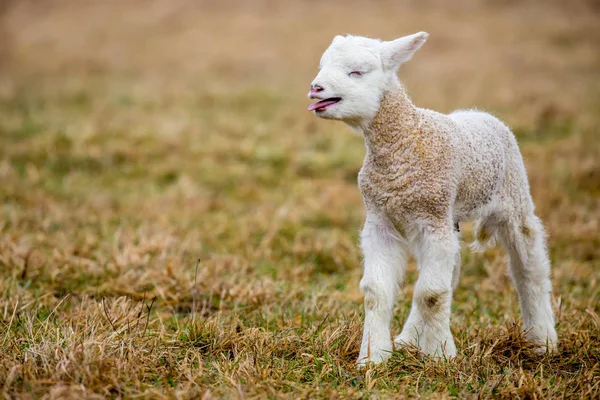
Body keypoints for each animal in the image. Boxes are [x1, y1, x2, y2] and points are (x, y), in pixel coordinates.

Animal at [308, 32, 560, 368]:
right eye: (323, 66)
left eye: (357, 72)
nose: (315, 88)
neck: (408, 139)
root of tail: (479, 112)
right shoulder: (381, 220)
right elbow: (377, 292)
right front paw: (373, 358)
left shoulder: (432, 220)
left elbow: (431, 294)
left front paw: (441, 356)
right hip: (447, 218)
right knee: (450, 274)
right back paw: (408, 339)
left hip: (513, 196)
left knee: (529, 268)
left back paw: (542, 339)